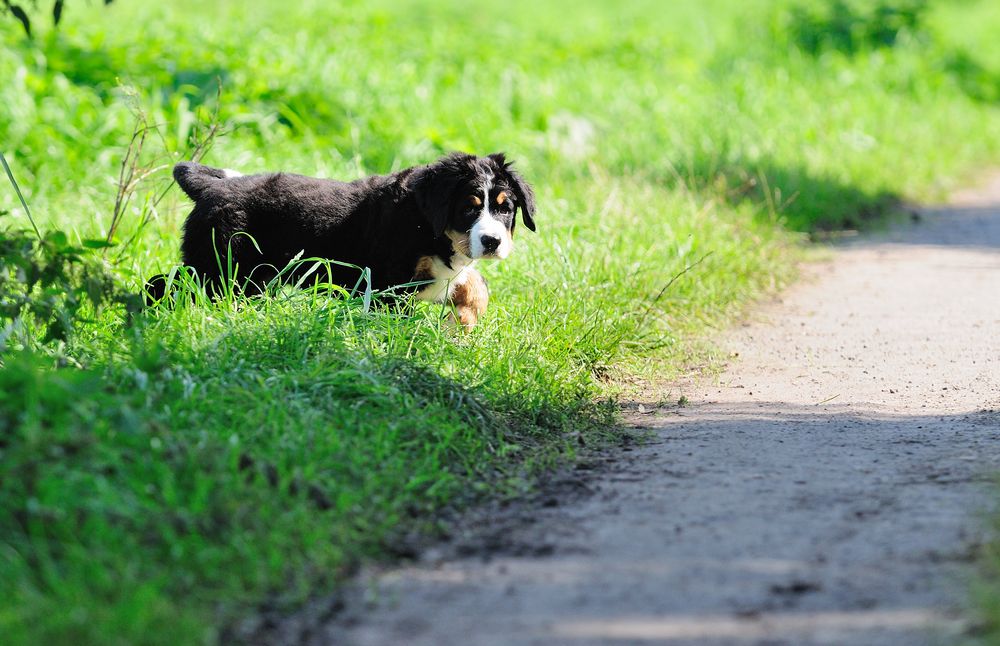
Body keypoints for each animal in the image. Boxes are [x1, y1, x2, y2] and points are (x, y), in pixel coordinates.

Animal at [146, 153, 536, 330]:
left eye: (506, 209)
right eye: (468, 208)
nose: (492, 241)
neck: (425, 222)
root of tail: (210, 186)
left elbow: (474, 284)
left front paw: (463, 323)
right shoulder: (387, 284)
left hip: (249, 276)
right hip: (219, 265)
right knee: (164, 284)